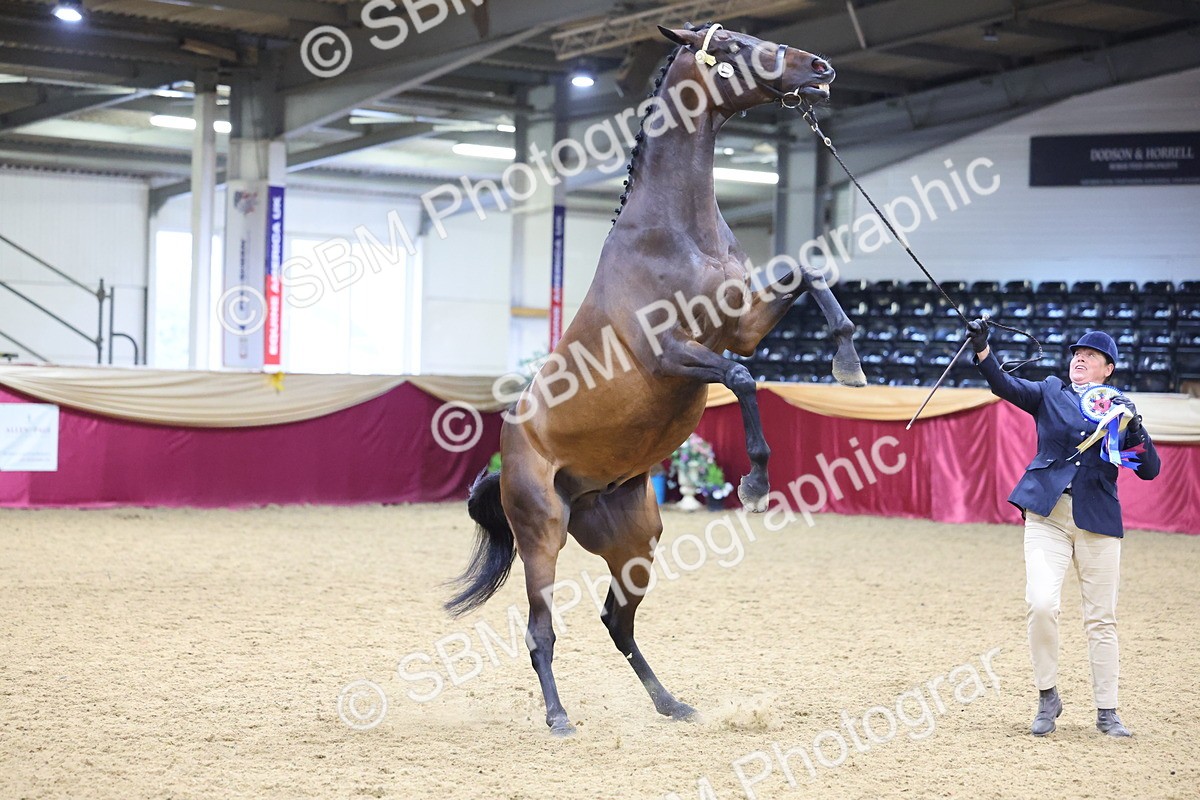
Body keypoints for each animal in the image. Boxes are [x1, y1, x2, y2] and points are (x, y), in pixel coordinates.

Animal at [446, 22, 865, 735]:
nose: (820, 68)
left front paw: (848, 362)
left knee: (616, 621)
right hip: (542, 536)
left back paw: (672, 703)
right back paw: (559, 717)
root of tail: (506, 456)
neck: (675, 232)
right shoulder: (674, 354)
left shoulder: (743, 323)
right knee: (540, 629)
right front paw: (756, 483)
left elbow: (808, 273)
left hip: (635, 538)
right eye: (734, 46)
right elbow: (744, 378)